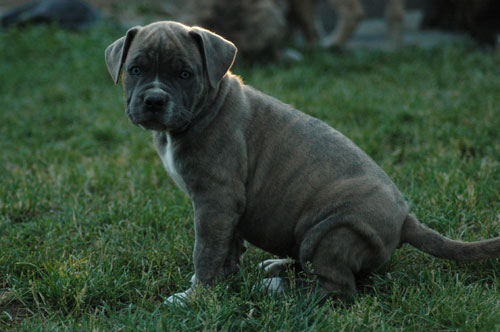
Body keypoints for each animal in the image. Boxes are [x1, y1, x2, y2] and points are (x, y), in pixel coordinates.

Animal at [105, 20, 500, 304]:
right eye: (136, 70)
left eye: (185, 74)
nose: (154, 100)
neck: (203, 109)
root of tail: (406, 219)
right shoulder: (227, 206)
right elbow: (226, 246)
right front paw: (222, 281)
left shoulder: (216, 200)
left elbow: (206, 250)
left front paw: (196, 296)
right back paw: (279, 266)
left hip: (331, 231)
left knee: (337, 289)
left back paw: (277, 288)